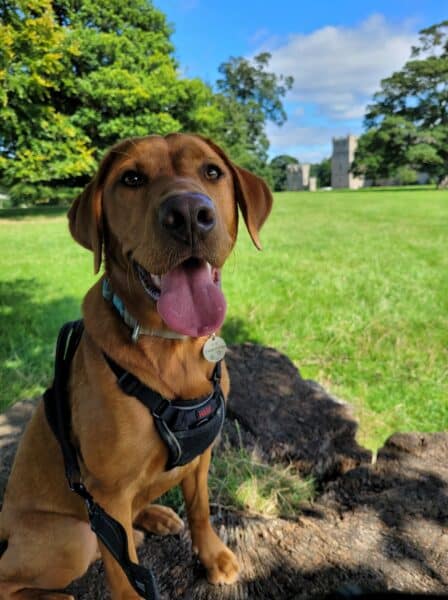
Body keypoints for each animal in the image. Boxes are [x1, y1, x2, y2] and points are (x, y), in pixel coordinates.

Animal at [0, 134, 272, 596]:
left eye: (212, 171)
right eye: (131, 179)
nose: (189, 215)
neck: (173, 346)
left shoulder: (200, 458)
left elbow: (200, 510)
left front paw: (212, 555)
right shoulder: (107, 495)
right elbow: (124, 576)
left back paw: (154, 517)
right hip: (73, 536)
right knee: (10, 579)